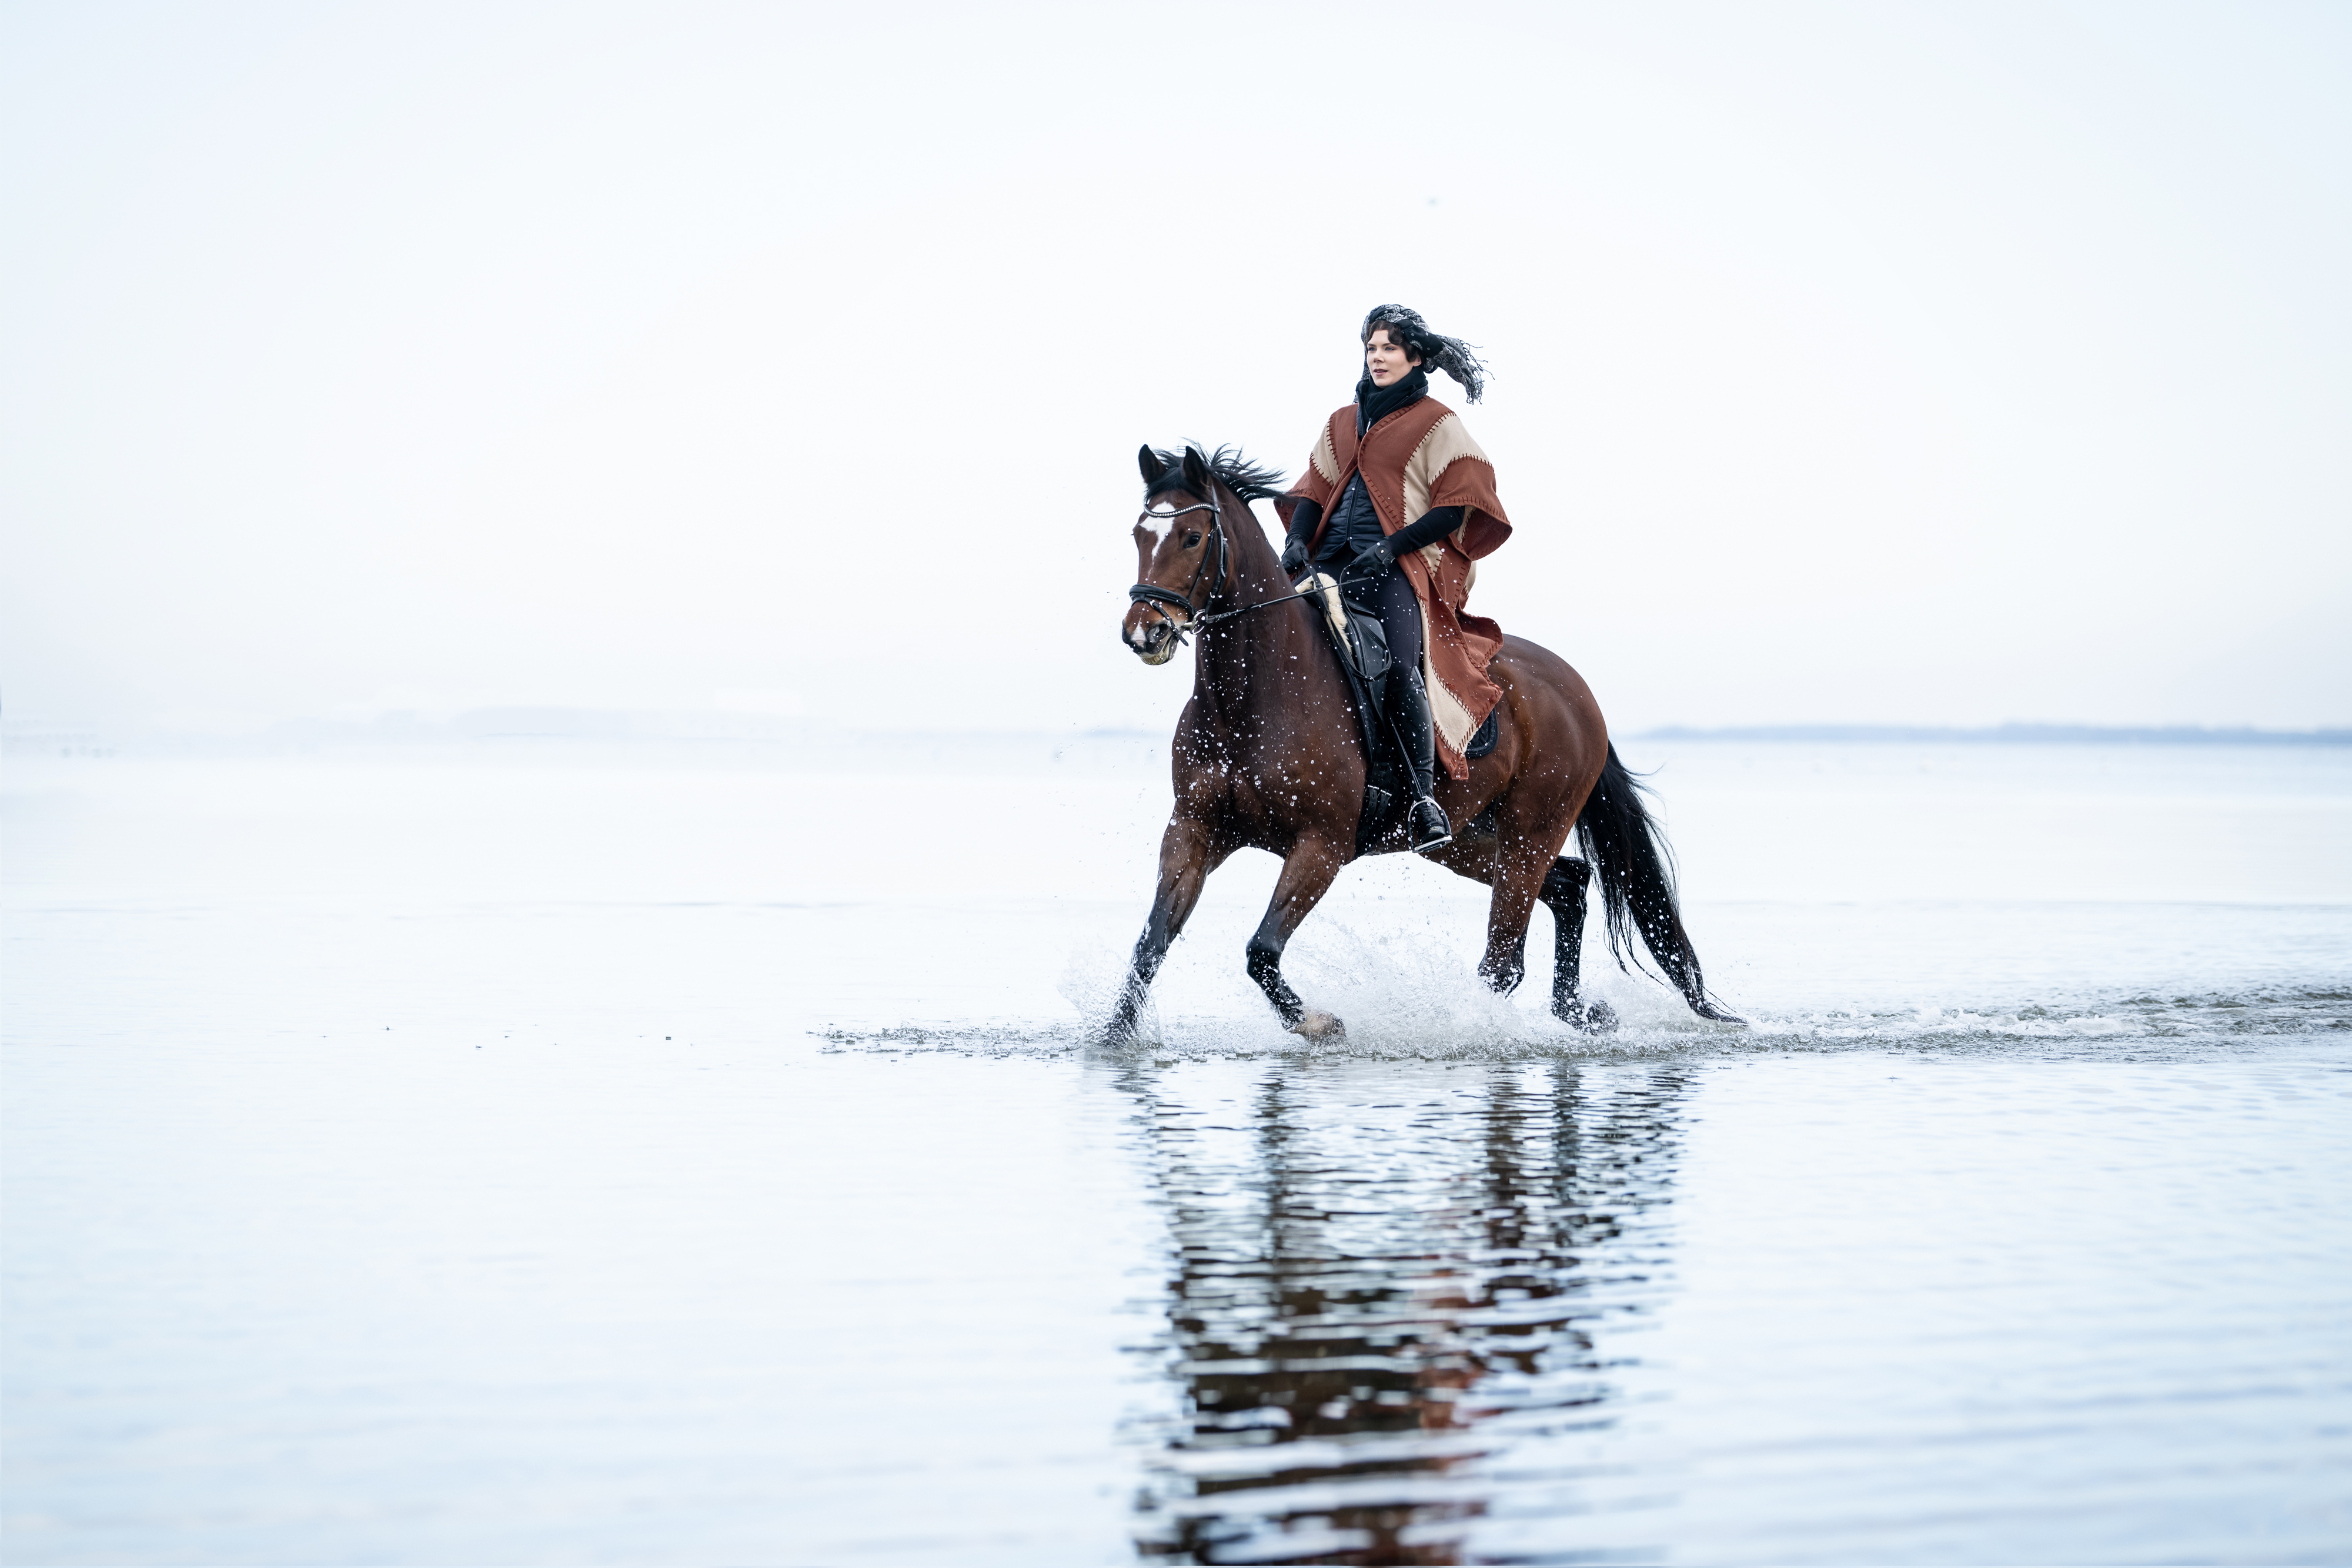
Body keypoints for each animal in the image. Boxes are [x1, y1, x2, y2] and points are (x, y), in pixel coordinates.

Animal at [1105, 439, 1750, 1044]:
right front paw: (1114, 1033)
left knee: (1504, 960)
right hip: (1466, 838)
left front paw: (1316, 1022)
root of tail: (1575, 691)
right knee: (1569, 886)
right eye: (1139, 533)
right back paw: (1576, 1011)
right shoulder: (1194, 830)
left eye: (1192, 537)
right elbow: (1150, 943)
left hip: (1530, 832)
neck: (1256, 693)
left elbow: (1261, 951)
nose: (1144, 632)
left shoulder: (1320, 845)